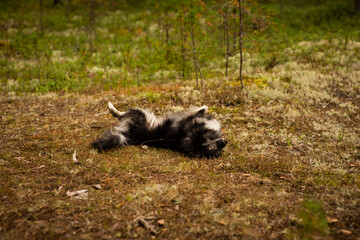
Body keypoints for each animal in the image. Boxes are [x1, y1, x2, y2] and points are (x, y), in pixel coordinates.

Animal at [92, 102, 228, 158]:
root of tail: (129, 136)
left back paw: (111, 107)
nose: (225, 142)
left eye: (215, 149)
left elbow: (200, 111)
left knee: (120, 115)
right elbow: (200, 110)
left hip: (138, 114)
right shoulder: (188, 119)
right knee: (120, 115)